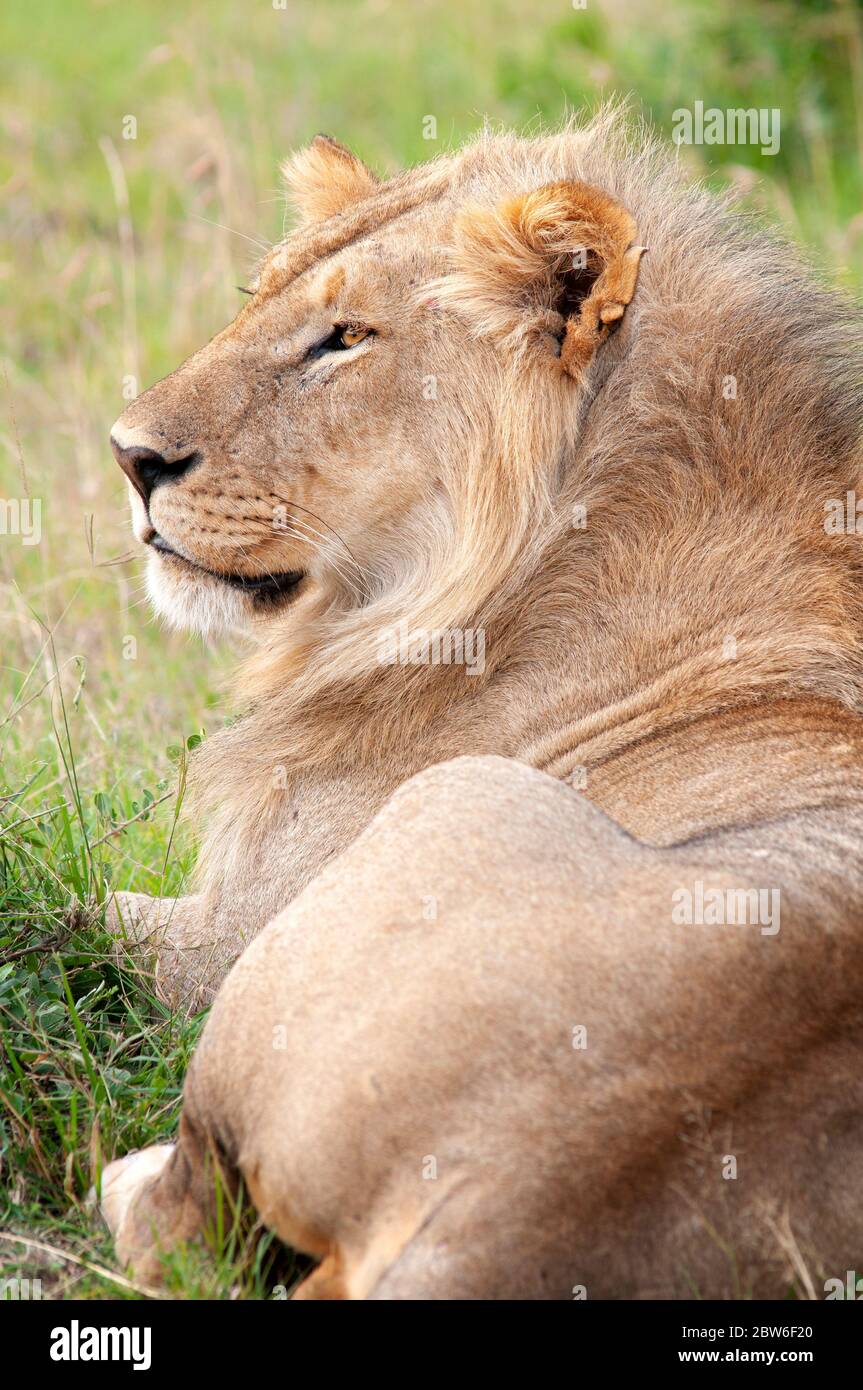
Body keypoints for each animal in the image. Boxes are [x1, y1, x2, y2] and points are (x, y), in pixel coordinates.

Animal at [101, 113, 863, 1299]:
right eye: (254, 297)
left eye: (344, 338)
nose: (130, 457)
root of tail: (508, 1199)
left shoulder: (220, 933)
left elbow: (88, 909)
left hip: (447, 809)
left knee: (176, 1221)